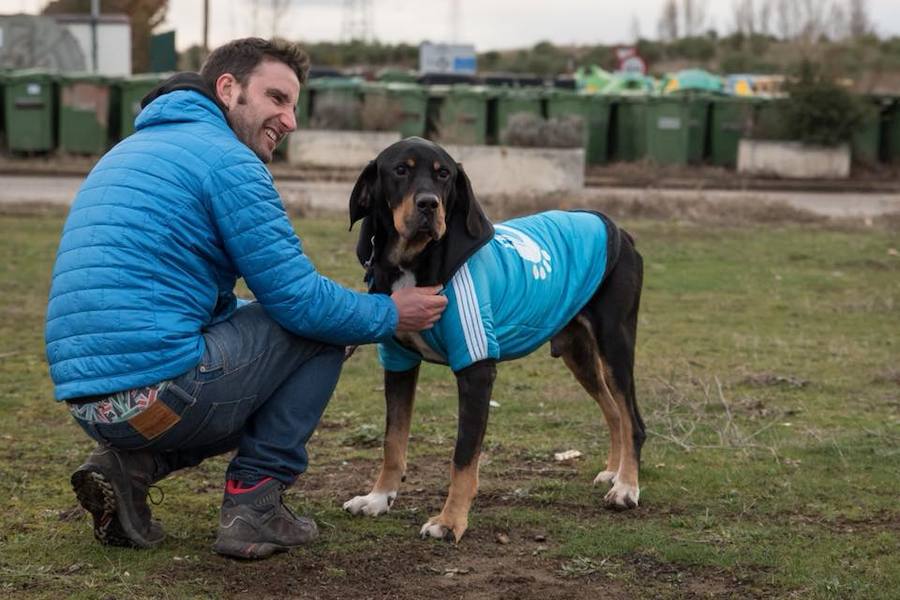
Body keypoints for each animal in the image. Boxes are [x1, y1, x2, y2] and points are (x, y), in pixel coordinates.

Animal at [342, 138, 644, 540]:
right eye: (400, 170)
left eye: (444, 174)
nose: (428, 204)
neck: (412, 262)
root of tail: (621, 232)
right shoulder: (398, 362)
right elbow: (393, 440)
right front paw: (378, 498)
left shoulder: (476, 370)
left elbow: (463, 456)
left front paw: (450, 521)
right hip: (579, 353)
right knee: (613, 411)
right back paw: (614, 471)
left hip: (615, 344)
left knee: (632, 420)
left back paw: (626, 487)